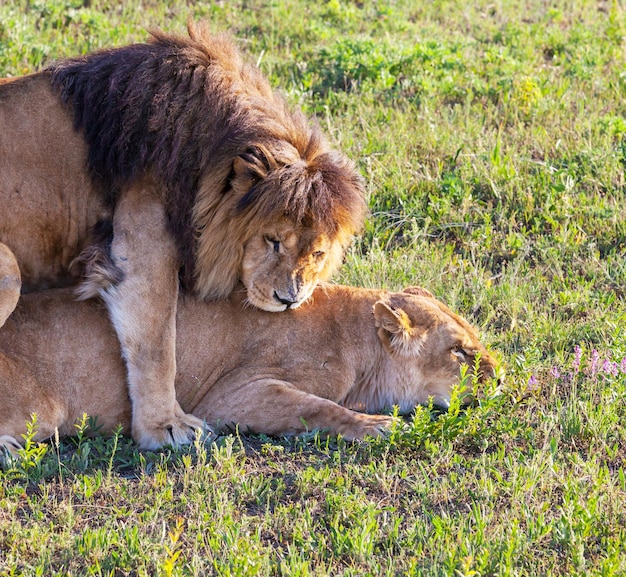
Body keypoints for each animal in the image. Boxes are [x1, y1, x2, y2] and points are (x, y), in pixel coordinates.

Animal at [0, 23, 366, 450]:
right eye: (273, 240)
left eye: (319, 252)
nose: (289, 300)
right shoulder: (140, 251)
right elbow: (158, 344)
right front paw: (166, 427)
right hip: (9, 269)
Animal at [0, 272, 498, 452]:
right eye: (458, 350)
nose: (501, 377)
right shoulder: (229, 396)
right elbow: (319, 406)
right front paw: (378, 426)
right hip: (41, 411)